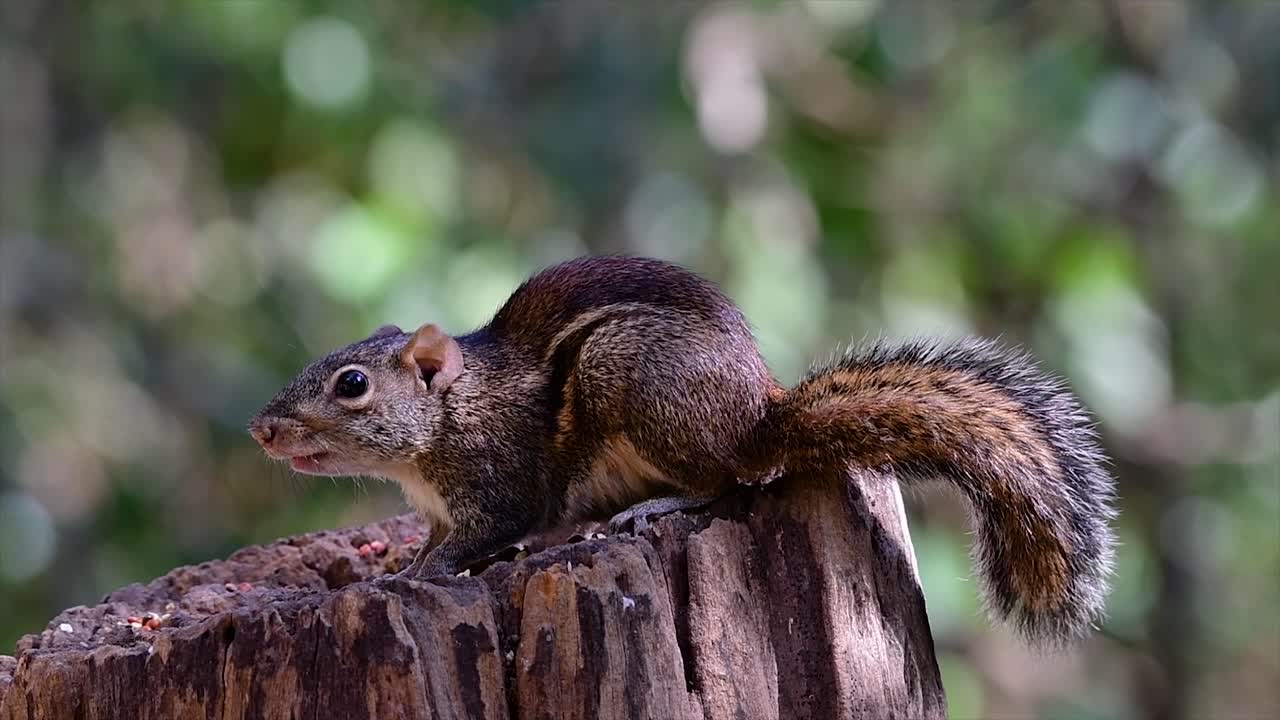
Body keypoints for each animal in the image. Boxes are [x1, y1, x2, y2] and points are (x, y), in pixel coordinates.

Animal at [249, 255, 1116, 645]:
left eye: (352, 384)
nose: (263, 429)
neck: (448, 419)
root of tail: (761, 417)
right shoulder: (434, 510)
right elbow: (431, 544)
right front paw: (392, 572)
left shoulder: (497, 484)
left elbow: (484, 536)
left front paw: (418, 580)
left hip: (640, 386)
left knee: (728, 480)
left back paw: (656, 505)